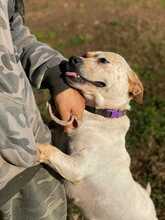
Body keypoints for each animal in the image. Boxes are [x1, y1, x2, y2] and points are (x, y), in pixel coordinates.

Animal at [37, 52, 157, 220]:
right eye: (85, 54)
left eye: (103, 60)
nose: (72, 58)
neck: (98, 114)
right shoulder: (61, 139)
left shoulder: (76, 167)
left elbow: (49, 150)